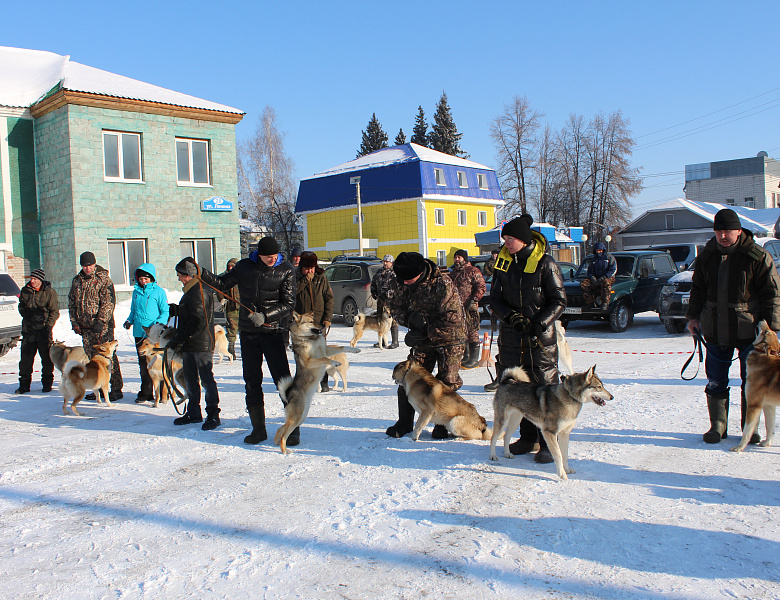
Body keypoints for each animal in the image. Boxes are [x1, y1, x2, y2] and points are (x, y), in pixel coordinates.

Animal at [274, 314, 360, 454]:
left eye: (314, 318)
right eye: (310, 321)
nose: (323, 325)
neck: (310, 339)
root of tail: (288, 396)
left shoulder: (326, 349)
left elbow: (341, 347)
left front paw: (355, 349)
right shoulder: (309, 360)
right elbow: (324, 358)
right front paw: (334, 362)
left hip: (301, 417)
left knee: (280, 429)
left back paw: (277, 443)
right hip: (296, 417)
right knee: (283, 434)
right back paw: (285, 450)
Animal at [732, 322, 780, 452]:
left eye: (766, 332)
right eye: (769, 330)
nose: (761, 320)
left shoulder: (754, 404)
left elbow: (747, 431)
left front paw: (739, 448)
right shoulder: (769, 405)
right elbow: (770, 427)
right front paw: (767, 443)